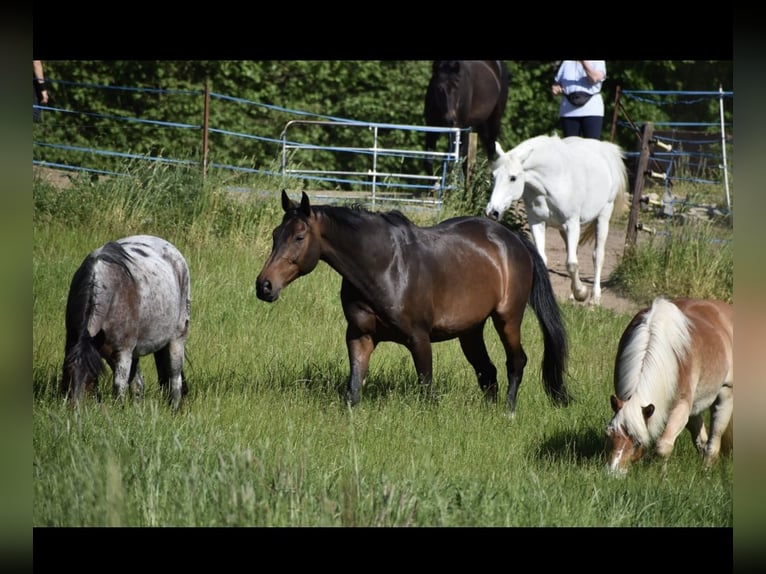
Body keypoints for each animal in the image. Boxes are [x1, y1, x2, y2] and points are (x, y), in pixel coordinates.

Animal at [60, 236, 191, 412]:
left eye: (91, 378)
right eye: (67, 375)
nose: (75, 409)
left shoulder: (123, 352)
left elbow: (119, 387)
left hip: (176, 340)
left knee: (175, 380)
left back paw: (174, 410)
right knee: (138, 384)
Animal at [256, 192, 568, 414]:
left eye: (299, 236)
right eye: (275, 235)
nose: (264, 286)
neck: (385, 267)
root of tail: (513, 239)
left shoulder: (419, 339)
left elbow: (426, 388)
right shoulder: (359, 336)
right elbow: (353, 390)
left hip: (507, 318)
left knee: (516, 361)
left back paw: (508, 412)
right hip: (470, 330)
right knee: (487, 372)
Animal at [486, 134, 632, 306]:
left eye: (513, 178)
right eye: (494, 176)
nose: (492, 211)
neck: (552, 179)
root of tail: (606, 149)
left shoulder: (572, 223)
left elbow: (572, 264)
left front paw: (582, 293)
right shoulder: (537, 222)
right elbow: (546, 259)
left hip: (603, 216)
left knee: (598, 256)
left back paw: (594, 298)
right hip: (564, 230)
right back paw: (572, 295)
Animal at [608, 296, 736, 476]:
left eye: (638, 441)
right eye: (609, 435)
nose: (613, 473)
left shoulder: (680, 408)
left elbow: (663, 446)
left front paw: (661, 475)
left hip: (725, 394)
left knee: (714, 439)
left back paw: (706, 471)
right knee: (700, 435)